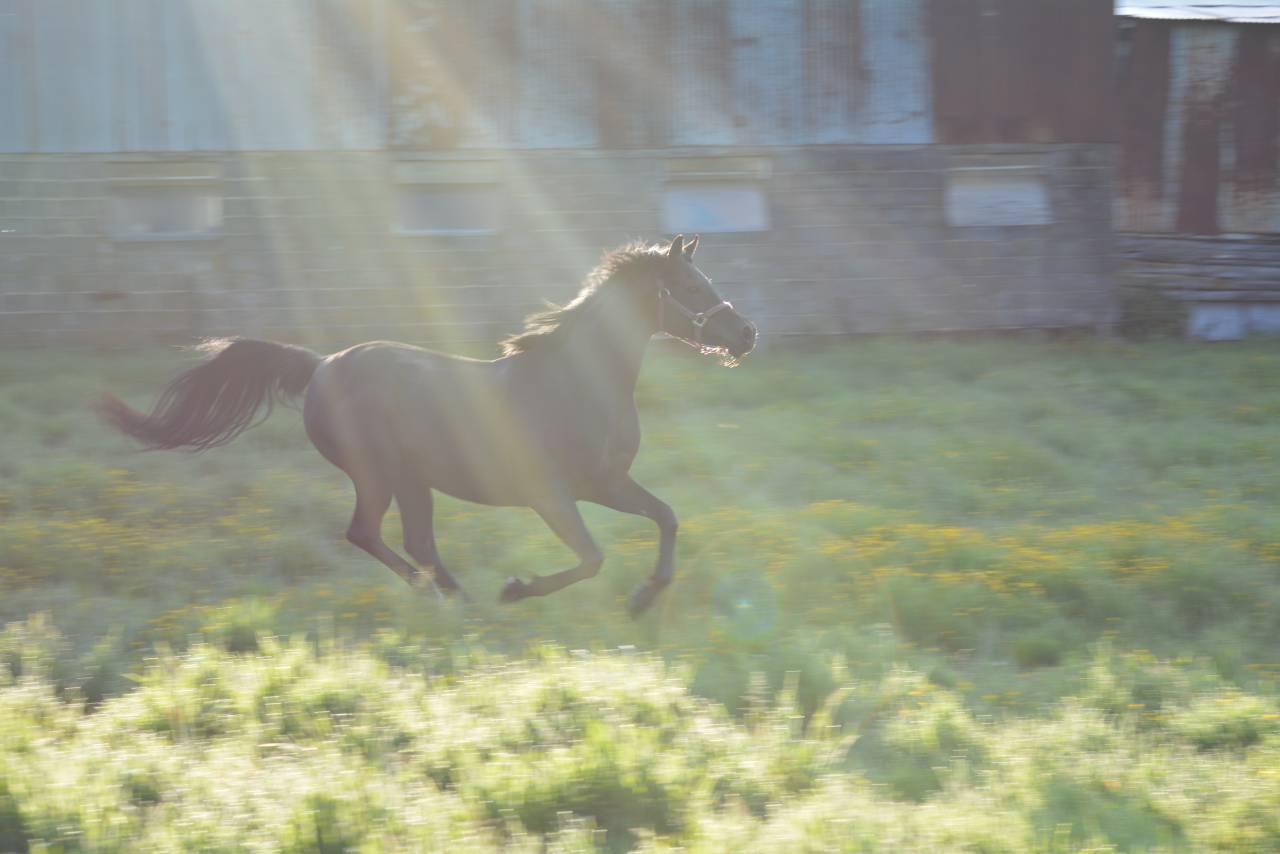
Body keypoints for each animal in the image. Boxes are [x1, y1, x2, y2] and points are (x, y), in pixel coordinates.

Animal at [96, 235, 757, 616]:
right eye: (691, 285)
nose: (746, 334)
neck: (574, 383)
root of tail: (320, 365)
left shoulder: (605, 483)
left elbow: (667, 517)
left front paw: (644, 598)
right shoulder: (551, 494)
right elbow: (592, 557)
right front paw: (516, 589)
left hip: (411, 480)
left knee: (403, 540)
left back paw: (449, 595)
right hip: (381, 474)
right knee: (374, 534)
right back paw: (451, 596)